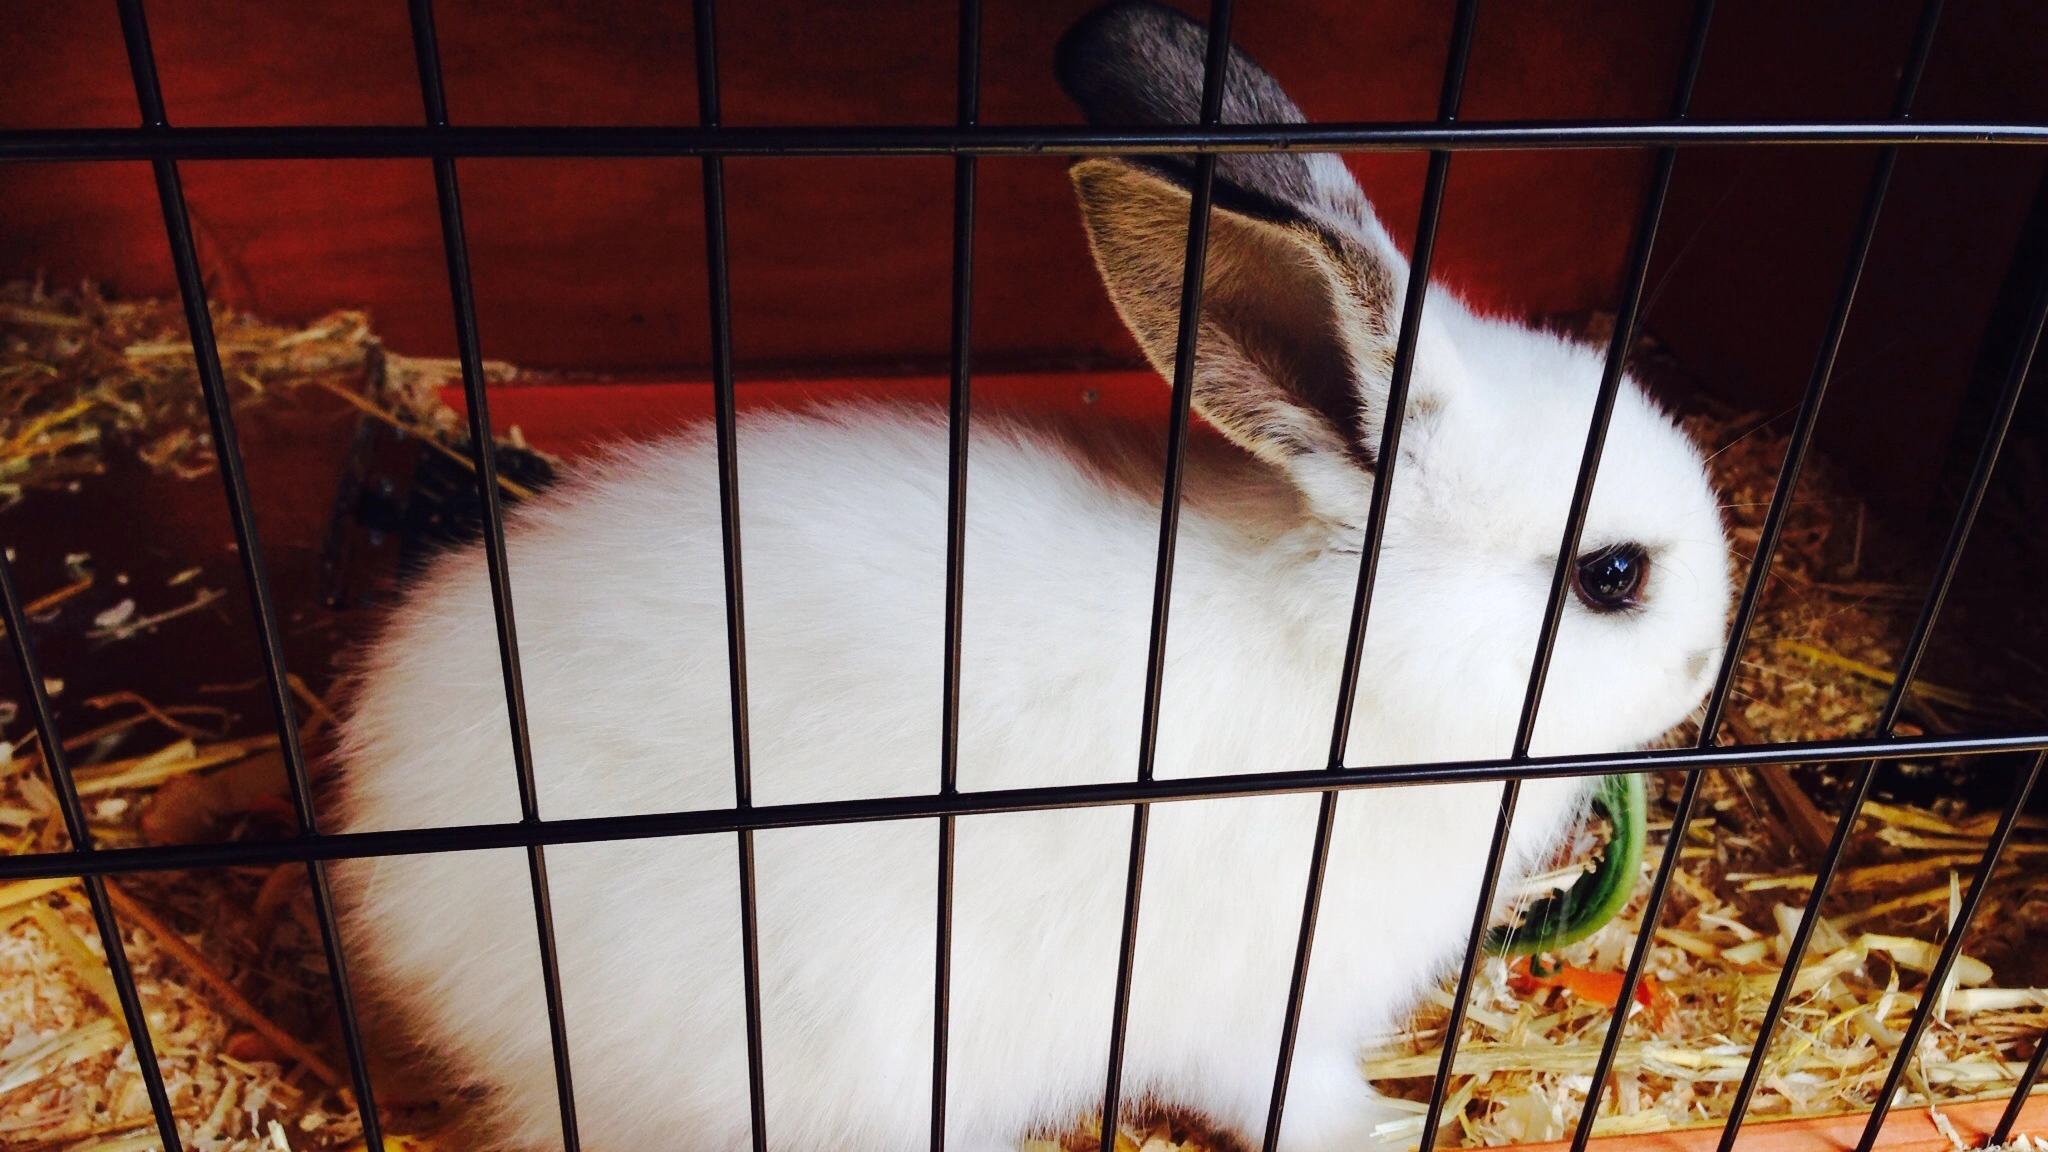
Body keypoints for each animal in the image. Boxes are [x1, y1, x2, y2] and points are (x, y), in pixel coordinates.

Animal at [329, 3, 1732, 1151]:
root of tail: (389, 874)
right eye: (1611, 576)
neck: (1353, 674)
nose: (1705, 664)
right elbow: (1283, 1095)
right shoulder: (1257, 1001)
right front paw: (1386, 1131)